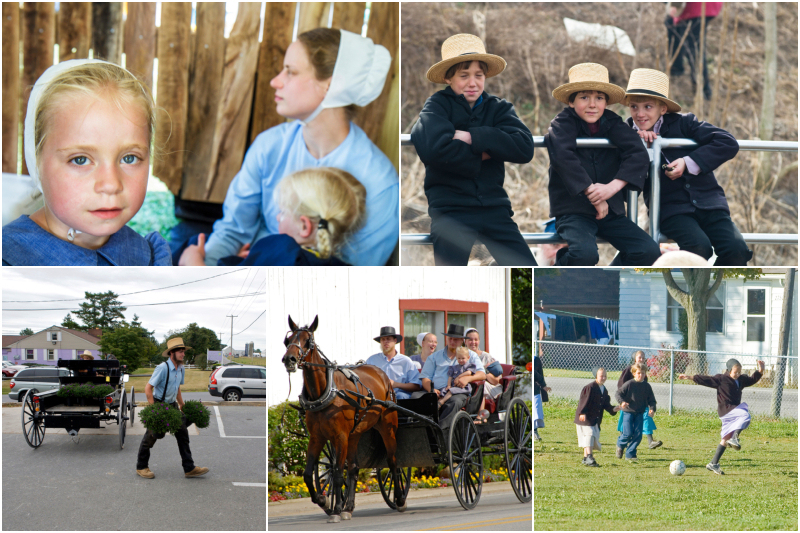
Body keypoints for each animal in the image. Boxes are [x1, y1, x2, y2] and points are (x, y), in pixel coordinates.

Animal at [282, 314, 406, 520]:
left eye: (308, 340)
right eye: (288, 339)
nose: (289, 359)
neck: (326, 392)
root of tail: (382, 375)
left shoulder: (340, 436)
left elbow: (339, 473)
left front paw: (337, 509)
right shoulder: (317, 437)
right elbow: (308, 474)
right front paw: (324, 501)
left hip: (388, 428)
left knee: (393, 462)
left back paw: (399, 499)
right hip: (355, 434)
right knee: (354, 468)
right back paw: (349, 506)